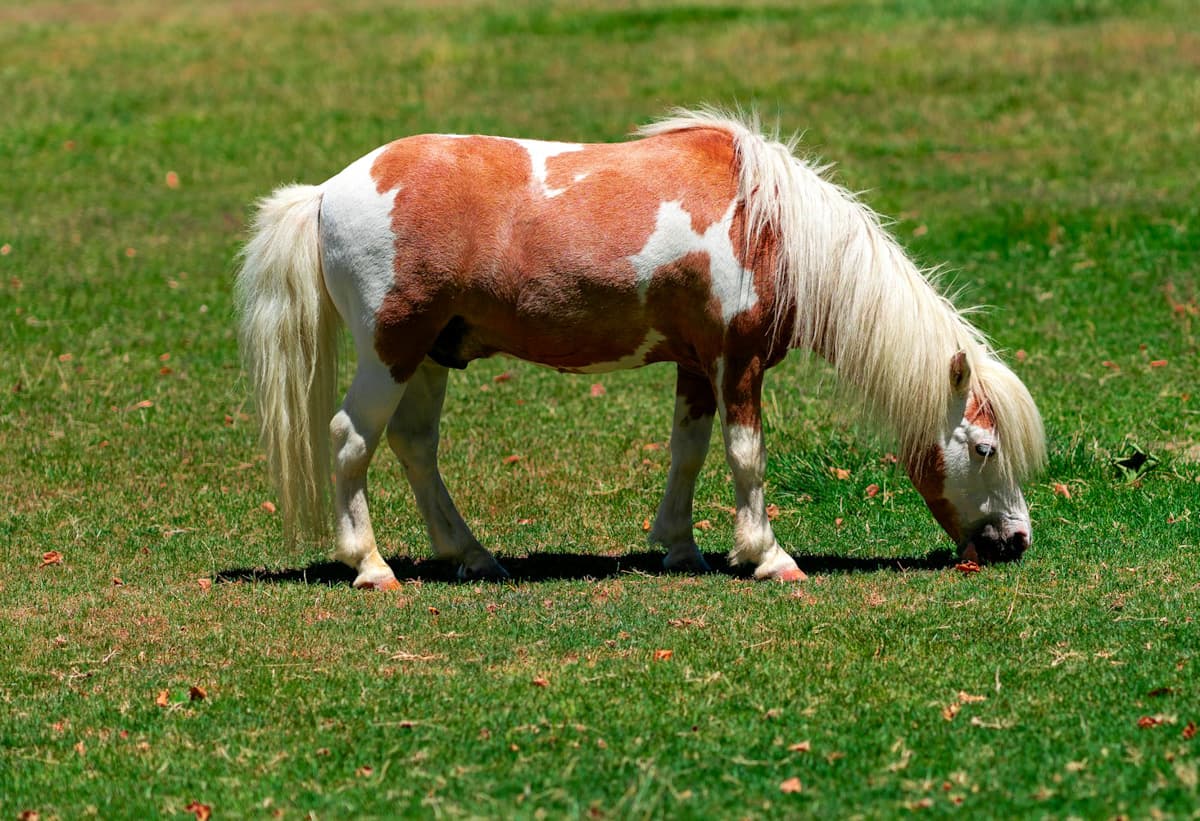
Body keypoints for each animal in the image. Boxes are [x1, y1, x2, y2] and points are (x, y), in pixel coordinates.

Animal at [235, 108, 1046, 590]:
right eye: (982, 447)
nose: (1016, 540)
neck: (770, 225)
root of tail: (327, 192)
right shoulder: (738, 362)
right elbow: (746, 455)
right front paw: (769, 556)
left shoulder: (696, 365)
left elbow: (688, 450)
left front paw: (681, 547)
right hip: (391, 351)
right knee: (351, 439)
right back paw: (372, 567)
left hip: (433, 354)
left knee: (413, 445)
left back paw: (470, 554)